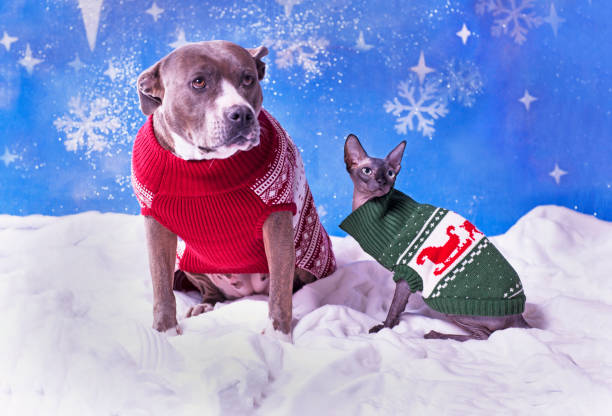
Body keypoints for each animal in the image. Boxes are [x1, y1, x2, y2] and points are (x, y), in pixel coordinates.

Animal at [131, 40, 338, 340]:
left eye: (248, 79)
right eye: (198, 82)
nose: (241, 114)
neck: (204, 166)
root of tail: (247, 292)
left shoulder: (277, 220)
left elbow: (279, 290)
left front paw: (278, 337)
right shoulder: (156, 224)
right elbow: (161, 285)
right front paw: (165, 333)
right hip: (193, 263)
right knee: (211, 292)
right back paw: (204, 305)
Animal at [342, 135, 528, 340]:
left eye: (390, 173)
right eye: (367, 171)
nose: (382, 181)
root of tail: (518, 313)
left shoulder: (407, 274)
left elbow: (394, 308)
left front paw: (384, 329)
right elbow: (399, 309)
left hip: (451, 305)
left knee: (483, 336)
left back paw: (435, 334)